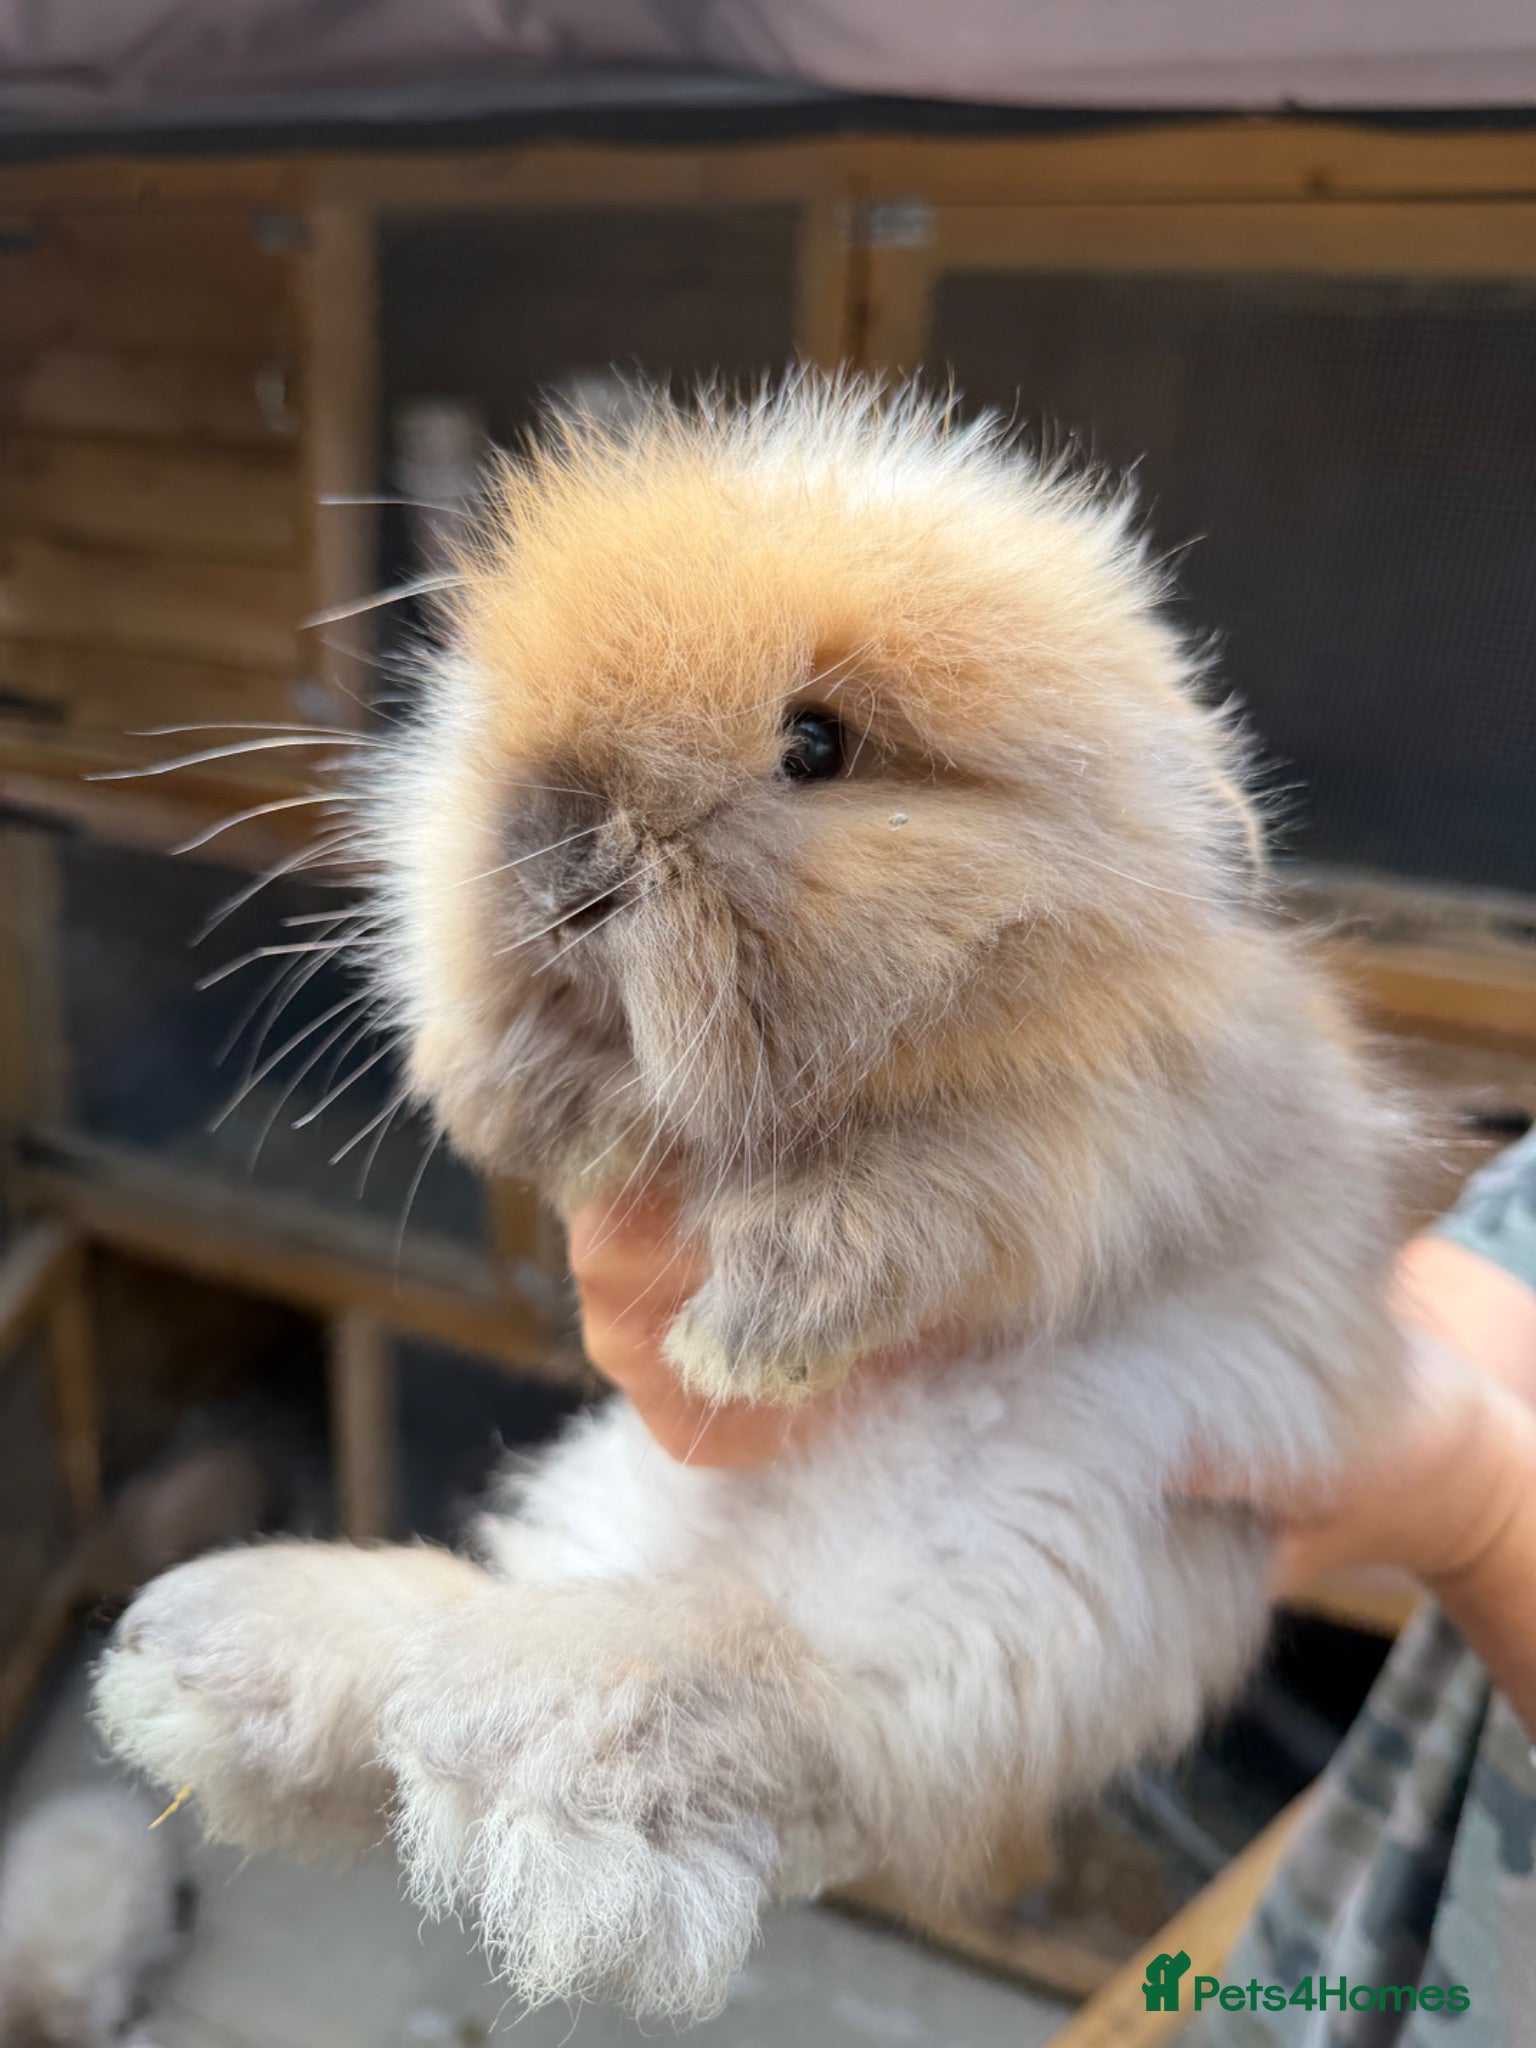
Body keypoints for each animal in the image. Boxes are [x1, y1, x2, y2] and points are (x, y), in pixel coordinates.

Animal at [94, 376, 1406, 2021]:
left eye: (816, 744)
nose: (554, 846)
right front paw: (535, 1104)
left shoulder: (1102, 1141)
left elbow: (913, 1195)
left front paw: (742, 1336)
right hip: (616, 1512)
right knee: (453, 1638)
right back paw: (205, 1663)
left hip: (982, 1607)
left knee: (765, 1707)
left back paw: (516, 1737)